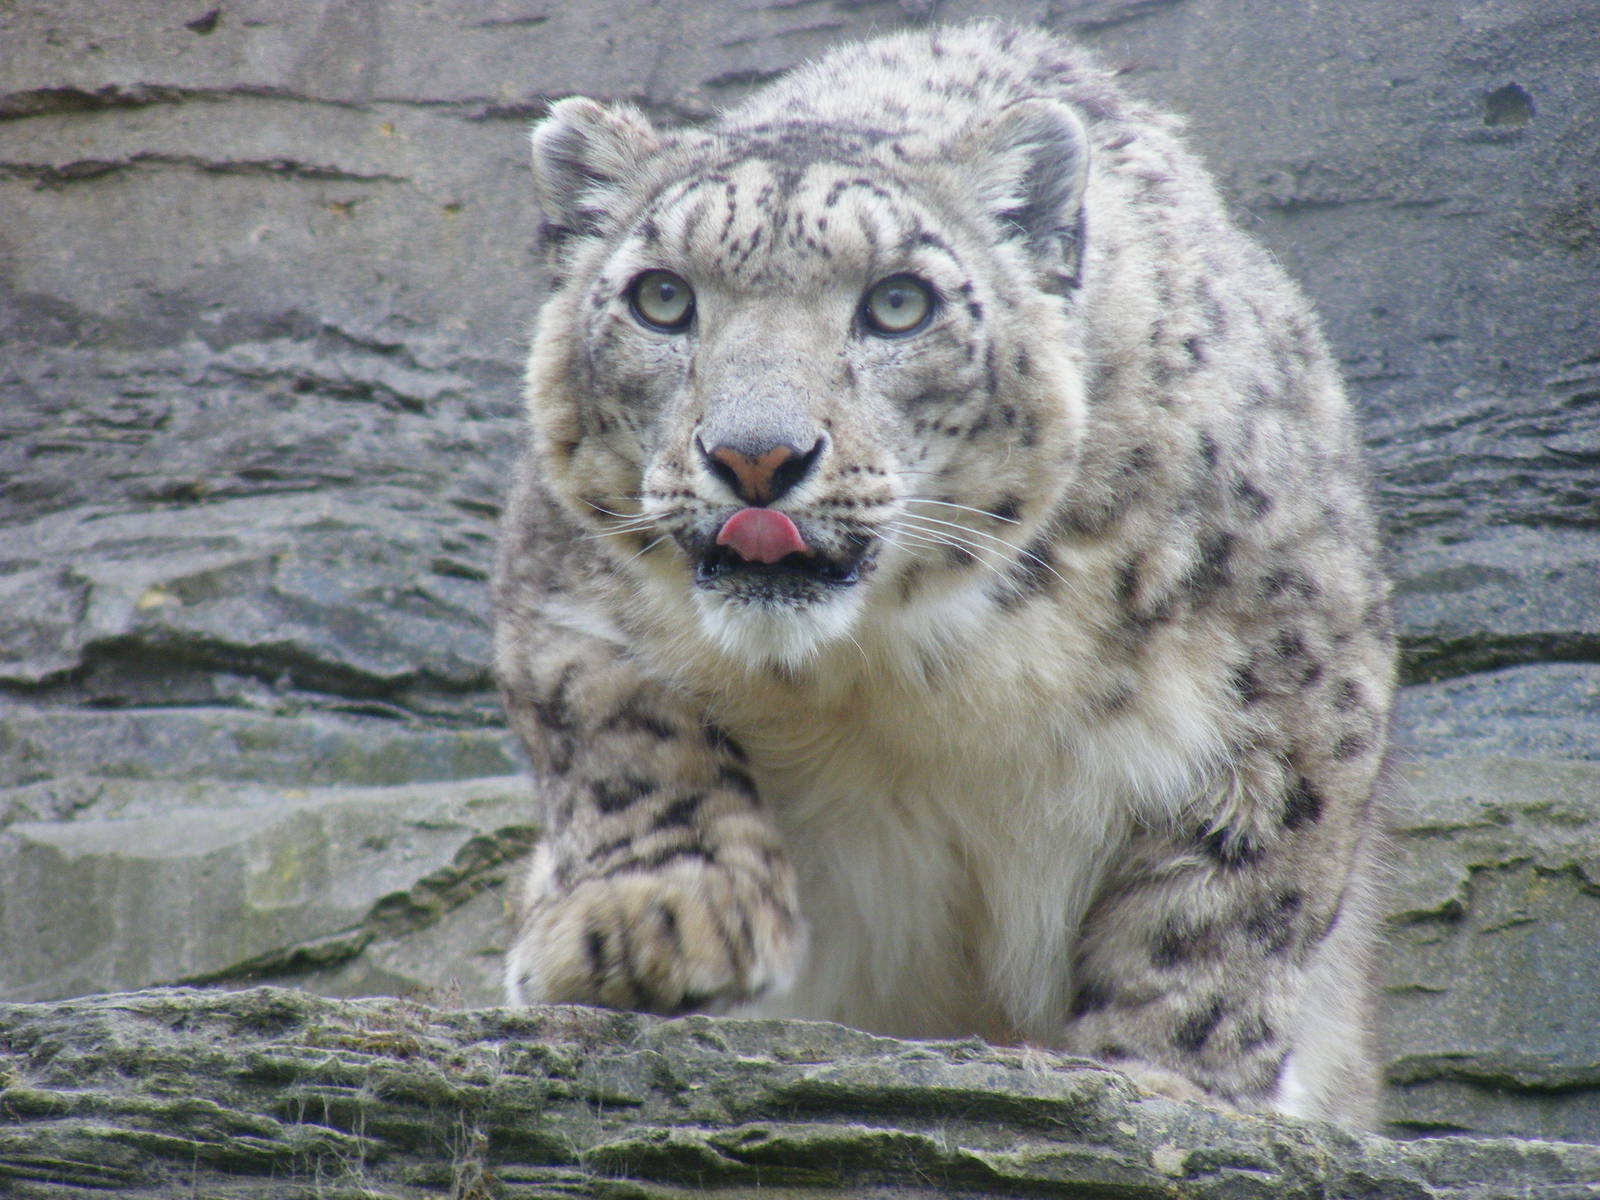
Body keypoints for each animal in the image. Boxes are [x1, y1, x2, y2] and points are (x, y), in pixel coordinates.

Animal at [493, 22, 1396, 1126]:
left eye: (898, 304)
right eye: (661, 297)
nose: (756, 457)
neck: (895, 667)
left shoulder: (1291, 665)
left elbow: (1228, 893)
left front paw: (1163, 1078)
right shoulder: (559, 582)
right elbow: (620, 731)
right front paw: (654, 921)